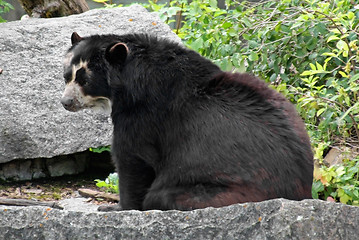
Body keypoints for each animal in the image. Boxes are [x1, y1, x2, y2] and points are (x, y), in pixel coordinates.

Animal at [60, 31, 314, 210]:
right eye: (66, 76)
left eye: (85, 79)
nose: (65, 102)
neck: (129, 82)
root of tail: (302, 191)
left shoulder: (143, 114)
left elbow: (132, 156)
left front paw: (115, 207)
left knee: (160, 195)